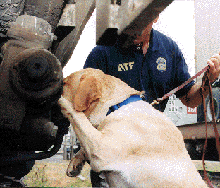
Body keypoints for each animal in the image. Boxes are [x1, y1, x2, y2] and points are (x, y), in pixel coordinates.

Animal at [58, 68, 206, 187]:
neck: (116, 105)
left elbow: (79, 117)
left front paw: (62, 101)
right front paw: (75, 162)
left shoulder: (102, 148)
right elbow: (84, 140)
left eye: (64, 83)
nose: (57, 87)